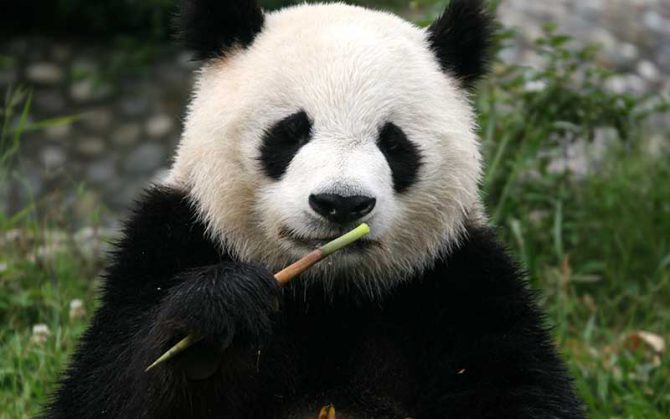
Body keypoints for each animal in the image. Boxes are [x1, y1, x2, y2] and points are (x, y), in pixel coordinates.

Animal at [47, 0, 585, 418]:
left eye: (394, 144)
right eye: (290, 131)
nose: (341, 203)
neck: (327, 292)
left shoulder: (459, 282)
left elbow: (519, 387)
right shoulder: (169, 239)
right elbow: (106, 388)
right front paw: (218, 317)